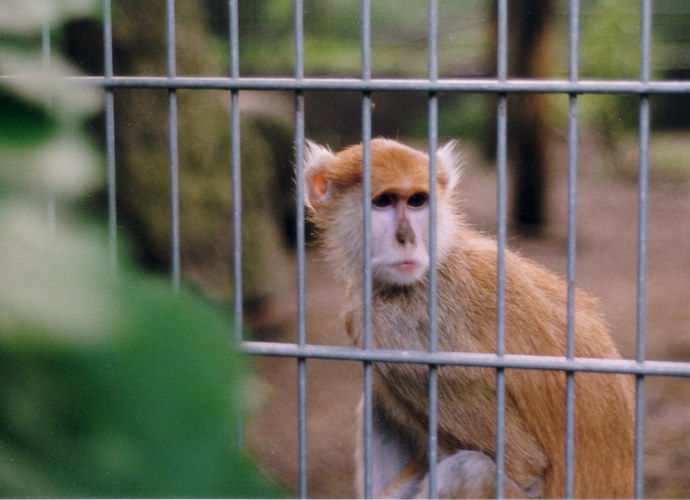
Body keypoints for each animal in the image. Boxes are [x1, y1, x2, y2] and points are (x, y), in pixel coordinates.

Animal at [302, 139, 636, 498]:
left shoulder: (395, 328)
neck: (439, 255)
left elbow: (522, 463)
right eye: (383, 202)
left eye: (417, 201)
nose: (406, 238)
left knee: (471, 470)